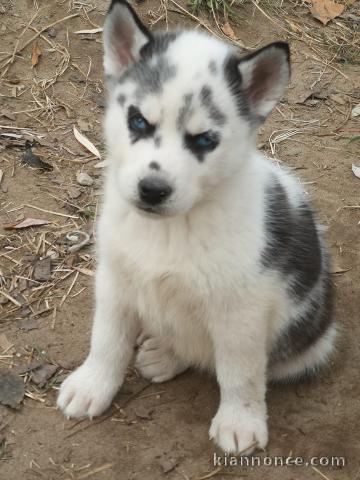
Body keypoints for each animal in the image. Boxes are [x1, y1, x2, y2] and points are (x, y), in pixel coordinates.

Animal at [57, 0, 336, 454]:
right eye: (138, 121)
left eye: (204, 140)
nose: (152, 190)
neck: (173, 228)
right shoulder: (115, 279)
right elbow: (107, 339)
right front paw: (93, 384)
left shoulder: (241, 312)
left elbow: (240, 373)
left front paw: (240, 421)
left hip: (306, 339)